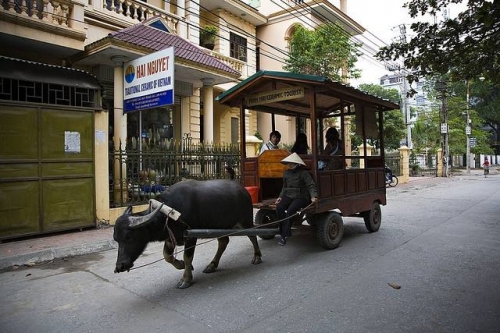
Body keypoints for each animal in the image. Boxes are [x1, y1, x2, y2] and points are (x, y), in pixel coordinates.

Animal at [113, 179, 262, 288]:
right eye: (116, 239)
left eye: (128, 237)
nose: (119, 266)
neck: (170, 212)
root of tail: (243, 190)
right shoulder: (170, 238)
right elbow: (167, 256)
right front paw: (181, 265)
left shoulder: (190, 237)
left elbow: (187, 257)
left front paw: (186, 279)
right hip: (220, 227)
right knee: (223, 242)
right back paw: (212, 265)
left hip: (246, 221)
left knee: (253, 236)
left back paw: (257, 257)